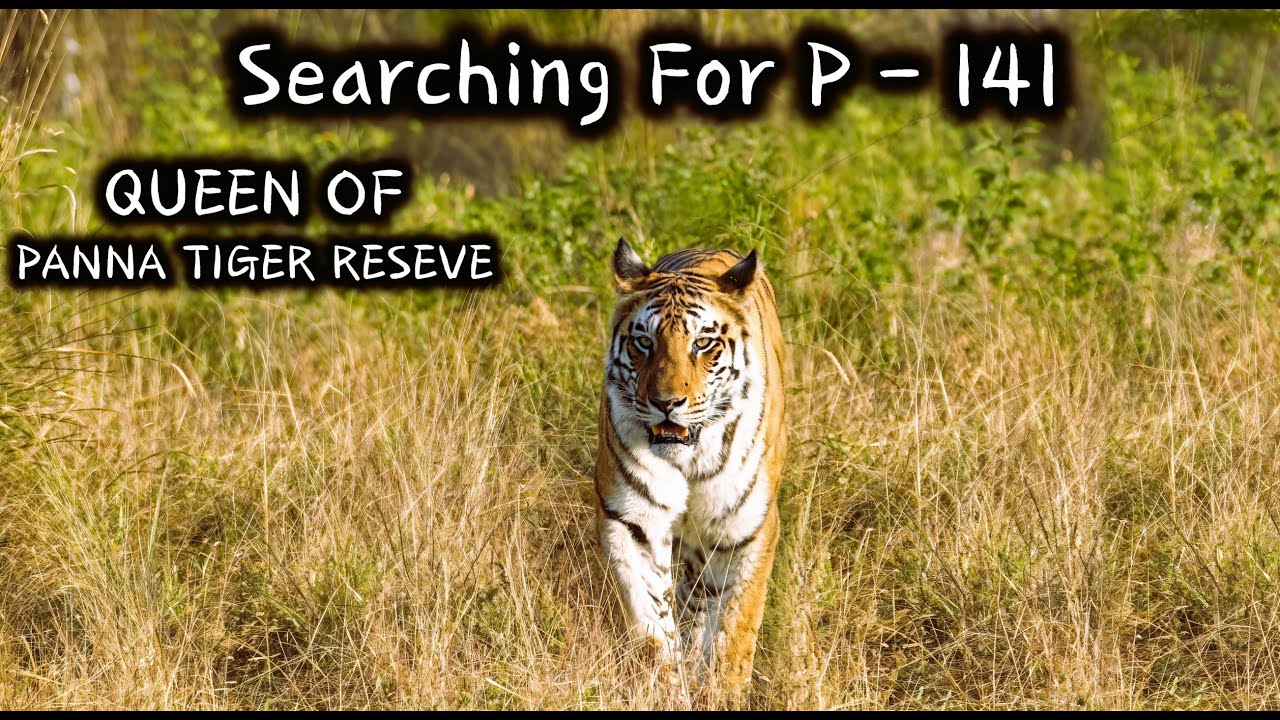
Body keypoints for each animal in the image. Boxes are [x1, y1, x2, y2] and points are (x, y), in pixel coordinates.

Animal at [594, 237, 786, 697]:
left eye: (702, 343)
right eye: (644, 342)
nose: (666, 403)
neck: (689, 458)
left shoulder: (746, 531)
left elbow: (735, 631)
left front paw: (722, 692)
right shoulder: (633, 523)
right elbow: (650, 627)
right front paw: (664, 689)